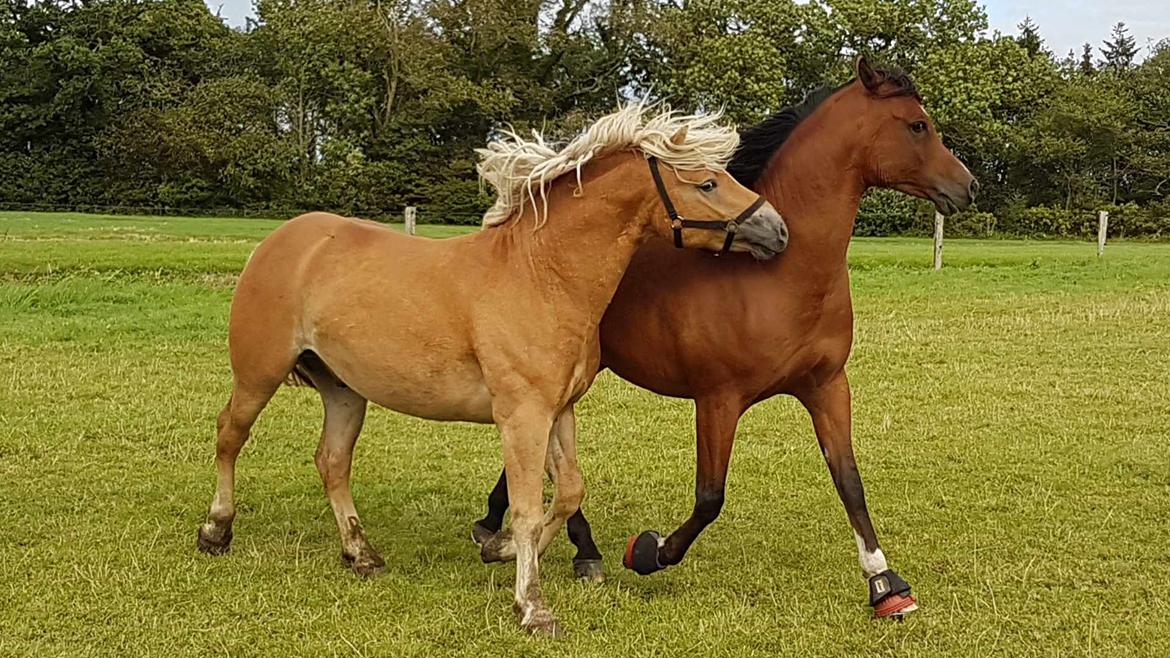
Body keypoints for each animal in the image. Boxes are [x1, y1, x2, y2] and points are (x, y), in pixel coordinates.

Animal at [194, 103, 786, 636]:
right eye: (707, 183)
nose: (777, 230)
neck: (540, 275)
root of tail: (284, 239)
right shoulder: (523, 416)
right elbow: (526, 507)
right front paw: (533, 606)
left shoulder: (558, 411)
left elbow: (568, 491)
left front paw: (500, 551)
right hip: (259, 373)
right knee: (230, 436)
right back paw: (216, 532)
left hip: (344, 390)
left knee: (332, 462)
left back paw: (361, 554)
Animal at [475, 58, 978, 618]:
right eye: (917, 125)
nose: (968, 186)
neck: (776, 274)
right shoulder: (718, 401)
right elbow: (709, 497)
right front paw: (648, 551)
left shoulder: (827, 386)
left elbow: (849, 480)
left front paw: (886, 584)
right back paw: (580, 550)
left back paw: (501, 530)